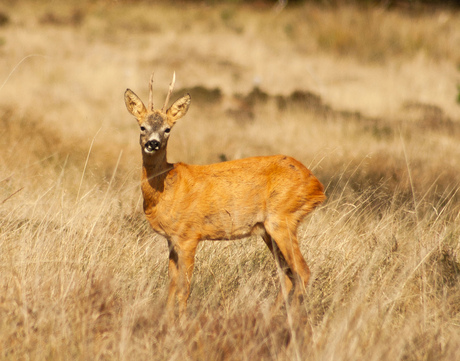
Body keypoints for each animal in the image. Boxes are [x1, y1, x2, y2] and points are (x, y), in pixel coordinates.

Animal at [125, 73, 328, 318]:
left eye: (168, 129)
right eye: (142, 126)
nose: (152, 143)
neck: (167, 186)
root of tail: (318, 187)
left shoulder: (189, 235)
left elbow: (184, 288)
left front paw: (181, 324)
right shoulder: (171, 240)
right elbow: (171, 286)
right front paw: (166, 320)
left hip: (283, 217)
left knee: (302, 272)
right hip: (268, 229)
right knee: (287, 274)